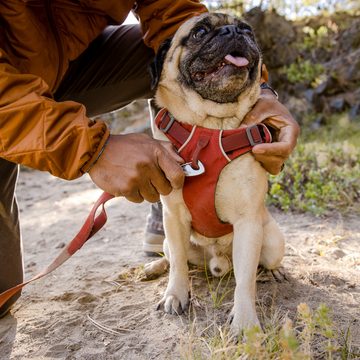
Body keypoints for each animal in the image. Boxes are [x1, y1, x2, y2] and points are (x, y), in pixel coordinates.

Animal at [145, 12, 286, 336]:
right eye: (199, 32)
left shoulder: (248, 223)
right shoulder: (173, 217)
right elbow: (179, 266)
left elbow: (245, 282)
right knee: (173, 257)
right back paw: (155, 268)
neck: (210, 128)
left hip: (272, 241)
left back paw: (275, 272)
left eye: (248, 31)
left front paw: (245, 319)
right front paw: (175, 295)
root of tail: (217, 263)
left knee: (262, 264)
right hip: (171, 240)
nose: (234, 30)